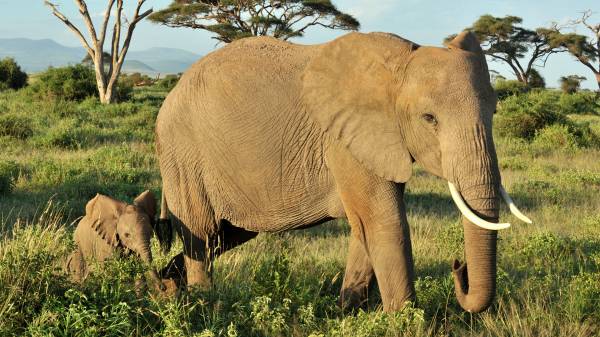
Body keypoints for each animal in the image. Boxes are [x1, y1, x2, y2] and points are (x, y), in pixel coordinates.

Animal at [155, 30, 528, 312]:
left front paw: (349, 313)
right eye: (429, 119)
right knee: (202, 232)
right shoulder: (344, 142)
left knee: (225, 235)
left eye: (495, 112)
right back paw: (203, 304)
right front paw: (406, 320)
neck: (398, 65)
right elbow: (385, 223)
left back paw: (166, 287)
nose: (458, 268)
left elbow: (366, 227)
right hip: (184, 154)